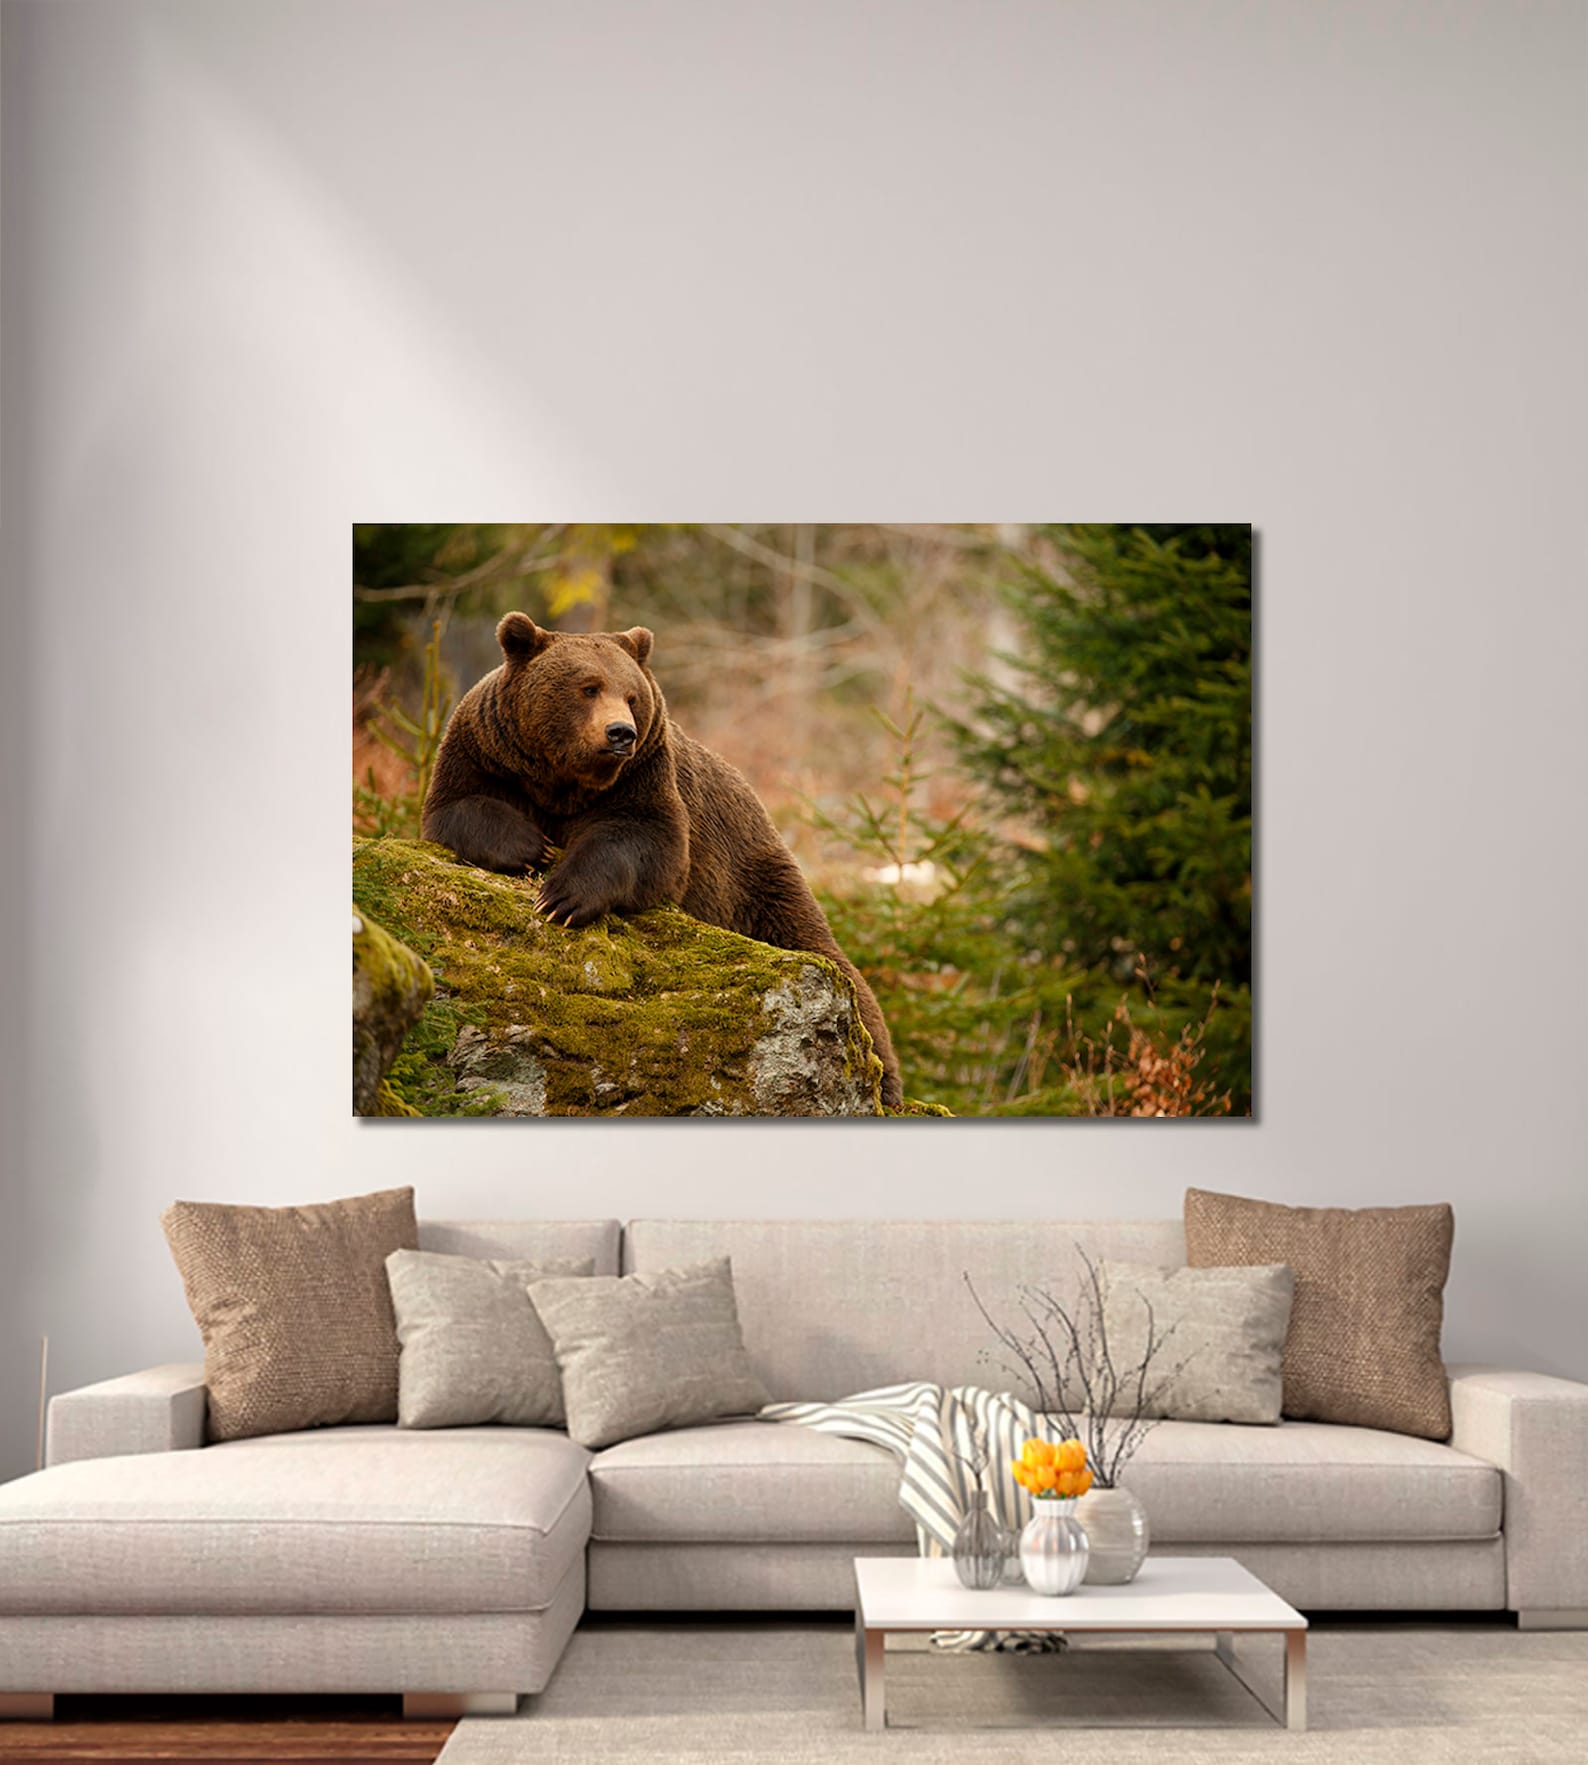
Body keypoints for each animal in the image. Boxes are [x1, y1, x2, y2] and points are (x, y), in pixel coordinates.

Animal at [421, 612, 903, 1109]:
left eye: (631, 696)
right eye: (588, 687)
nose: (621, 732)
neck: (564, 782)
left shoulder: (644, 777)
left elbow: (645, 842)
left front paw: (562, 897)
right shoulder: (486, 753)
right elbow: (458, 807)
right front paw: (532, 847)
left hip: (754, 878)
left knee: (830, 961)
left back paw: (884, 1081)